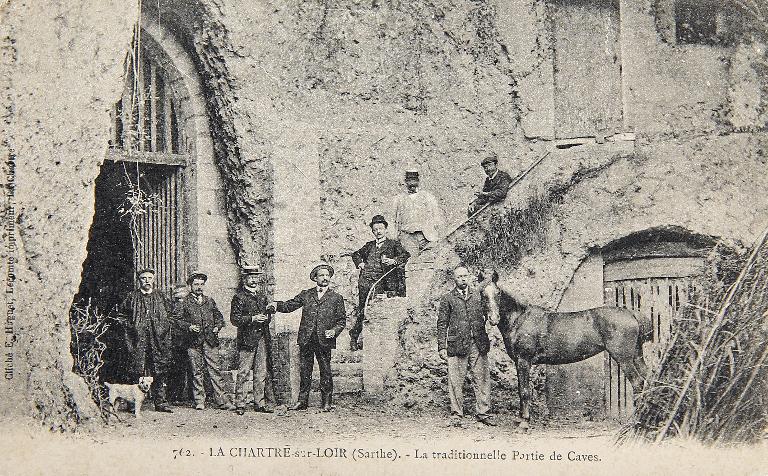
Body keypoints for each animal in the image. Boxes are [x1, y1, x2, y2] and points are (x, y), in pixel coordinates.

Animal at [476, 270, 652, 430]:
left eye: (498, 293)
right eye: (482, 294)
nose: (493, 319)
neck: (520, 319)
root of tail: (631, 313)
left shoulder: (524, 360)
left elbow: (524, 391)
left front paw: (524, 423)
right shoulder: (520, 362)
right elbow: (521, 390)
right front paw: (520, 420)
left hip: (624, 358)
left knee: (637, 382)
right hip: (636, 356)